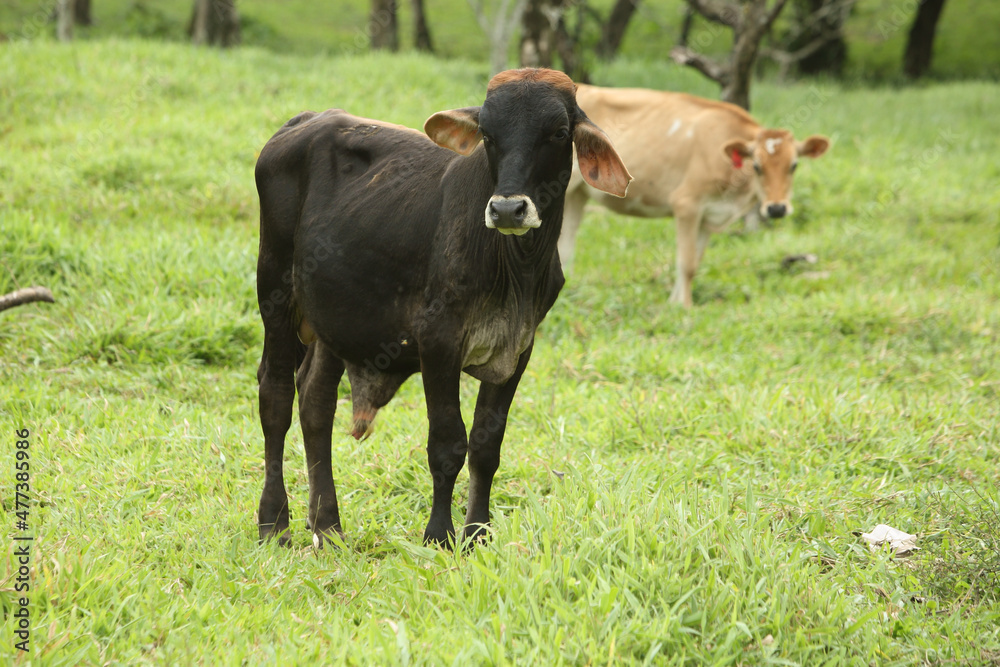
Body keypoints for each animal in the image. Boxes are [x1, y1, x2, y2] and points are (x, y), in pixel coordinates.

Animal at [258, 66, 632, 548]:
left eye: (559, 132)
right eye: (488, 134)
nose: (508, 209)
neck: (515, 266)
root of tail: (302, 121)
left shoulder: (519, 347)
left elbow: (486, 446)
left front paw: (477, 533)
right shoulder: (438, 341)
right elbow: (447, 443)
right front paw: (439, 534)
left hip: (332, 318)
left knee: (315, 403)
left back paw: (328, 525)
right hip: (275, 290)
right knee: (276, 396)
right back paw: (274, 521)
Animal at [560, 83, 832, 308]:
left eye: (794, 165)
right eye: (756, 166)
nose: (777, 208)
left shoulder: (709, 216)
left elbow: (694, 261)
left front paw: (674, 303)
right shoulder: (686, 204)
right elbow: (687, 263)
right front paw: (685, 307)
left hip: (577, 194)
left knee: (567, 241)